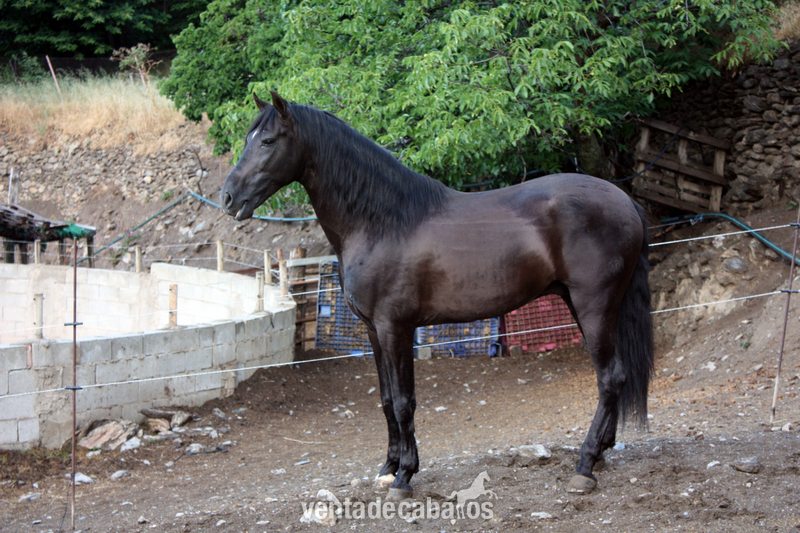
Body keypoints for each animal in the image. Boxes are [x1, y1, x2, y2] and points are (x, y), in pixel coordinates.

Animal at [221, 91, 654, 500]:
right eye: (247, 139)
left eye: (269, 140)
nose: (227, 197)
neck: (382, 222)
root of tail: (625, 200)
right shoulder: (374, 331)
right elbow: (385, 399)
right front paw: (388, 468)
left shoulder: (396, 328)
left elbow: (403, 401)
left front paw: (405, 476)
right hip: (583, 304)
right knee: (614, 377)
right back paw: (602, 452)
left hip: (594, 306)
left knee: (610, 377)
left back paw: (585, 466)